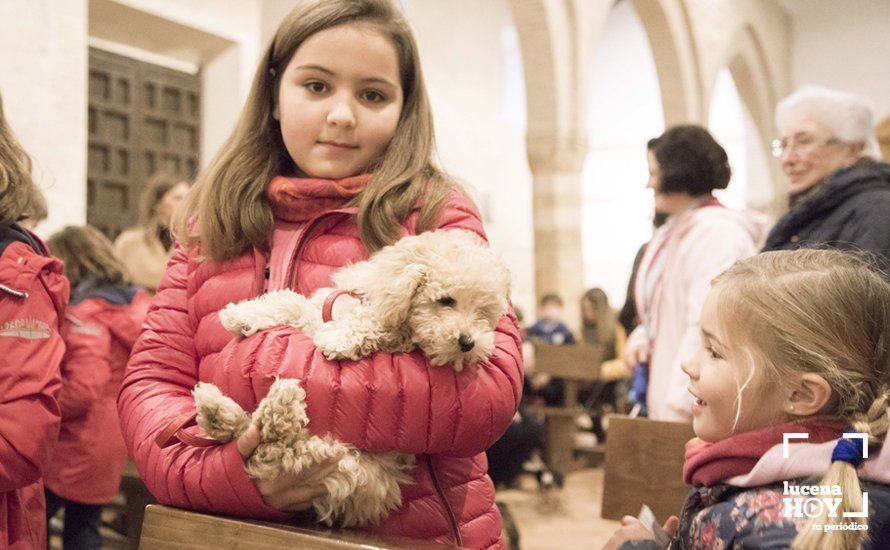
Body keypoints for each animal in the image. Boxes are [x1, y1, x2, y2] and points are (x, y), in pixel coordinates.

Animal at [217, 226, 512, 374]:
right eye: (446, 300)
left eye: (482, 313)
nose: (468, 343)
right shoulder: (320, 309)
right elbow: (289, 302)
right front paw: (241, 314)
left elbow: (374, 325)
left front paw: (339, 337)